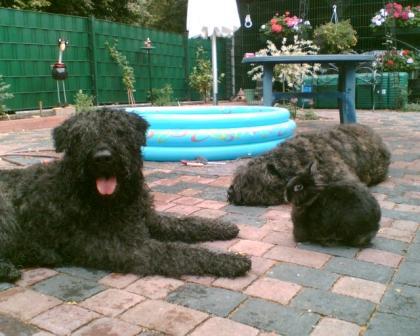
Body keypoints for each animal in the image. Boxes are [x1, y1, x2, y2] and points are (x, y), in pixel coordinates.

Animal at [0, 109, 249, 282]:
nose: (102, 157)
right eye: (80, 136)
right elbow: (177, 252)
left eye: (118, 132)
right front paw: (229, 260)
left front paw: (221, 227)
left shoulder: (147, 219)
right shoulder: (124, 248)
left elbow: (184, 223)